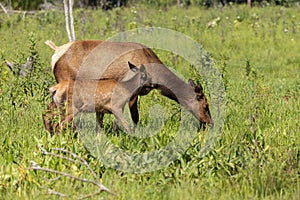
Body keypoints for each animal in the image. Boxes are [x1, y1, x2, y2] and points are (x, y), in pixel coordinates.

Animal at [44, 39, 213, 132]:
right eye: (206, 105)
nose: (210, 123)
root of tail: (55, 52)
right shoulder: (131, 92)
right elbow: (134, 117)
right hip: (66, 84)